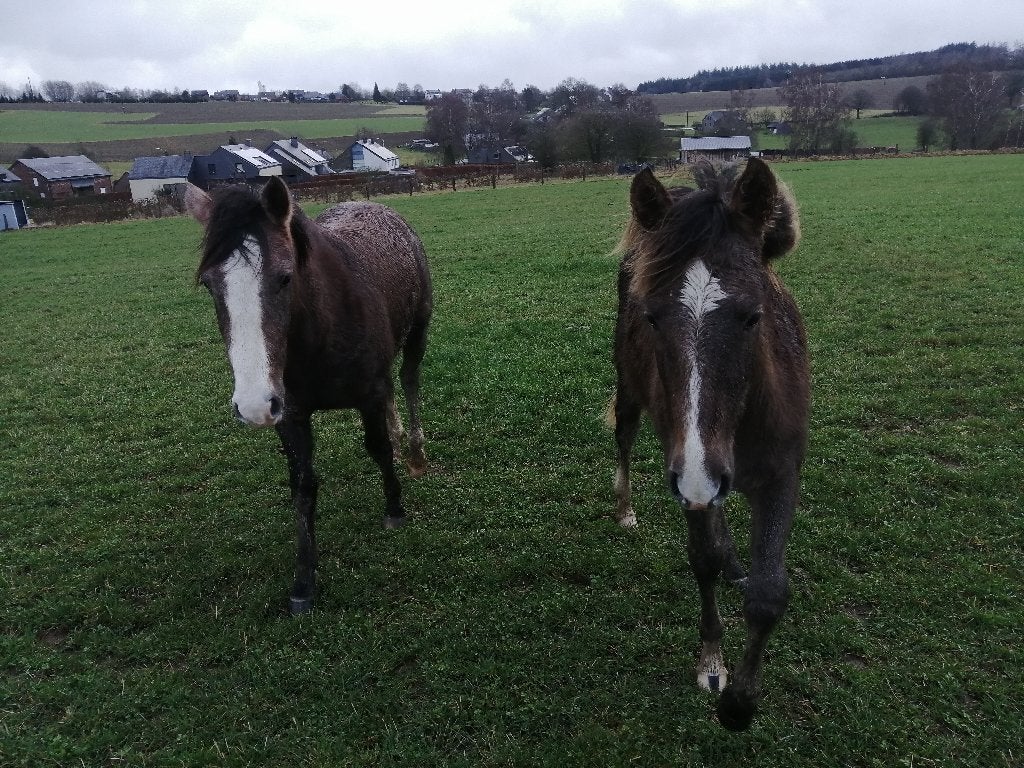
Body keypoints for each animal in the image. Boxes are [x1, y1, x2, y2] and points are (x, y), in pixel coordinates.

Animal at [185, 176, 432, 615]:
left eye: (285, 278)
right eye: (210, 285)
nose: (252, 405)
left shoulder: (367, 395)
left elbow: (379, 449)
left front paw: (395, 510)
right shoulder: (291, 414)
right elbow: (303, 488)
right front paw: (303, 582)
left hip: (418, 329)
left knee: (408, 381)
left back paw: (416, 452)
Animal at [611, 159, 810, 730]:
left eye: (753, 315)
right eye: (652, 316)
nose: (703, 479)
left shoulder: (782, 472)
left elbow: (769, 593)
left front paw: (741, 704)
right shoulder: (686, 467)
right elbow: (704, 558)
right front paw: (714, 666)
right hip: (633, 396)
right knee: (623, 437)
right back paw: (625, 509)